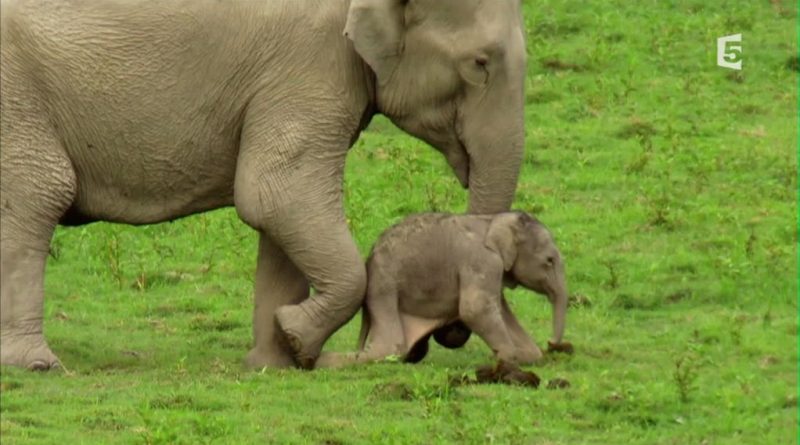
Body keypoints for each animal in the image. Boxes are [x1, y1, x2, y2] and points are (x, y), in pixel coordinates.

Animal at [0, 0, 527, 371]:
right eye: (480, 63)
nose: (444, 335)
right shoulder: (311, 61)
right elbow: (277, 194)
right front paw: (296, 336)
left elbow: (279, 213)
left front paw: (275, 361)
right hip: (14, 97)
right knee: (38, 193)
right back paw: (37, 364)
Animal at [315, 211, 571, 368]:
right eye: (549, 261)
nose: (551, 342)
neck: (493, 220)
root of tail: (369, 257)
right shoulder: (481, 261)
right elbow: (475, 310)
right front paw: (506, 359)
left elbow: (499, 310)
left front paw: (523, 355)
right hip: (384, 285)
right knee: (391, 346)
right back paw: (323, 361)